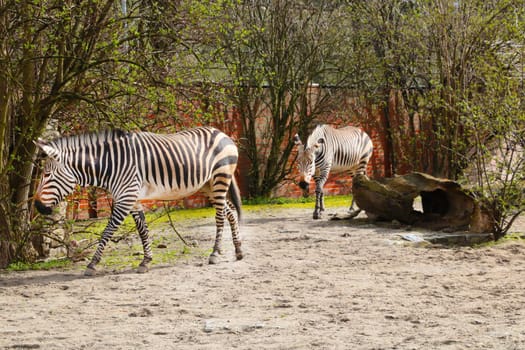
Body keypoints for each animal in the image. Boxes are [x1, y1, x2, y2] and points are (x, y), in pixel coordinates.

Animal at [33, 126, 243, 276]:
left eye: (47, 174)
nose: (37, 206)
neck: (111, 165)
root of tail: (222, 133)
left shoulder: (125, 199)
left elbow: (107, 231)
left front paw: (92, 264)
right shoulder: (132, 199)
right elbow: (142, 230)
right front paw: (146, 261)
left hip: (220, 179)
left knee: (220, 217)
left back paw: (215, 253)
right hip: (208, 186)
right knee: (231, 212)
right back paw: (238, 250)